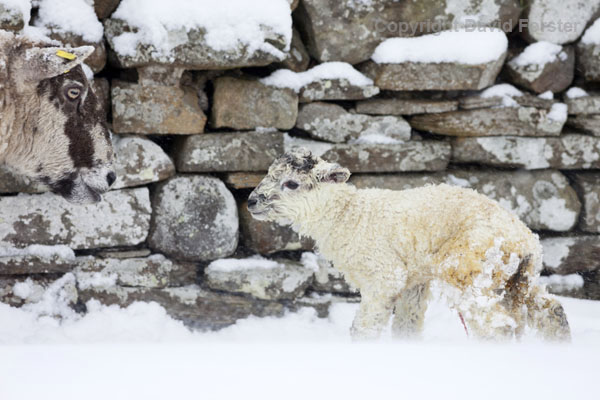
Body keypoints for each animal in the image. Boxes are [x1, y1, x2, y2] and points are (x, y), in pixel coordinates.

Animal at [247, 148, 572, 342]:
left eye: (291, 184)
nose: (250, 202)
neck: (349, 216)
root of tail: (525, 240)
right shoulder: (414, 282)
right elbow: (406, 325)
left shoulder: (385, 276)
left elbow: (363, 328)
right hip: (515, 280)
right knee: (550, 310)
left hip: (468, 269)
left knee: (497, 325)